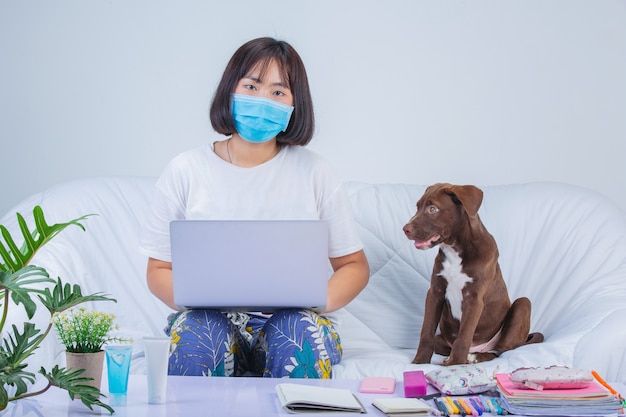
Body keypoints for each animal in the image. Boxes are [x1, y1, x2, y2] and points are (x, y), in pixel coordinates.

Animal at [400, 183, 540, 364]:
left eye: (433, 209)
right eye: (417, 207)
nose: (405, 229)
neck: (455, 250)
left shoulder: (473, 298)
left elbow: (464, 335)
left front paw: (456, 363)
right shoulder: (435, 292)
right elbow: (426, 332)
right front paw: (420, 361)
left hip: (522, 306)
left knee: (500, 351)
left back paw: (473, 357)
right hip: (443, 339)